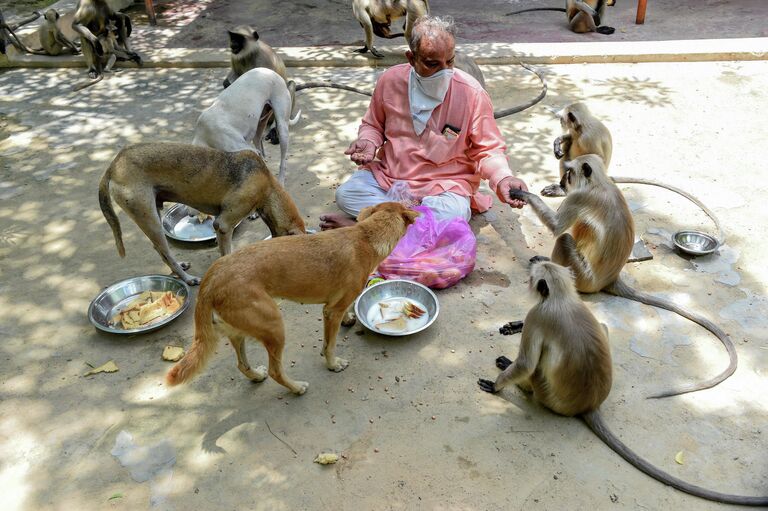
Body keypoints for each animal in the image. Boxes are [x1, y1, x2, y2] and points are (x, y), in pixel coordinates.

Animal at [98, 143, 306, 288]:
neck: (268, 186)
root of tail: (113, 165)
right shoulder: (223, 224)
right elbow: (226, 252)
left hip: (153, 214)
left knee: (160, 251)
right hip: (150, 220)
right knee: (165, 252)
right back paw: (188, 279)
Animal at [166, 203, 424, 396]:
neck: (365, 237)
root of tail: (212, 277)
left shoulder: (334, 306)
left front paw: (349, 319)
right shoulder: (331, 311)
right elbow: (329, 345)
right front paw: (333, 364)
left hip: (239, 331)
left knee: (242, 364)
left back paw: (256, 375)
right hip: (274, 326)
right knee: (275, 371)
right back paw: (297, 388)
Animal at [476, 260, 768, 508]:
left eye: (531, 278)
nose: (527, 277)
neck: (562, 298)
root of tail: (589, 405)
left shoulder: (539, 315)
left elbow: (526, 363)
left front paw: (497, 384)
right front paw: (515, 325)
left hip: (545, 392)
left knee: (535, 368)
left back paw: (512, 372)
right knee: (603, 326)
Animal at [510, 156, 736, 400]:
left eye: (569, 173)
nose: (563, 181)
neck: (601, 184)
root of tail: (611, 279)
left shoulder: (580, 196)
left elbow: (557, 227)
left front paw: (524, 194)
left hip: (583, 276)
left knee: (564, 239)